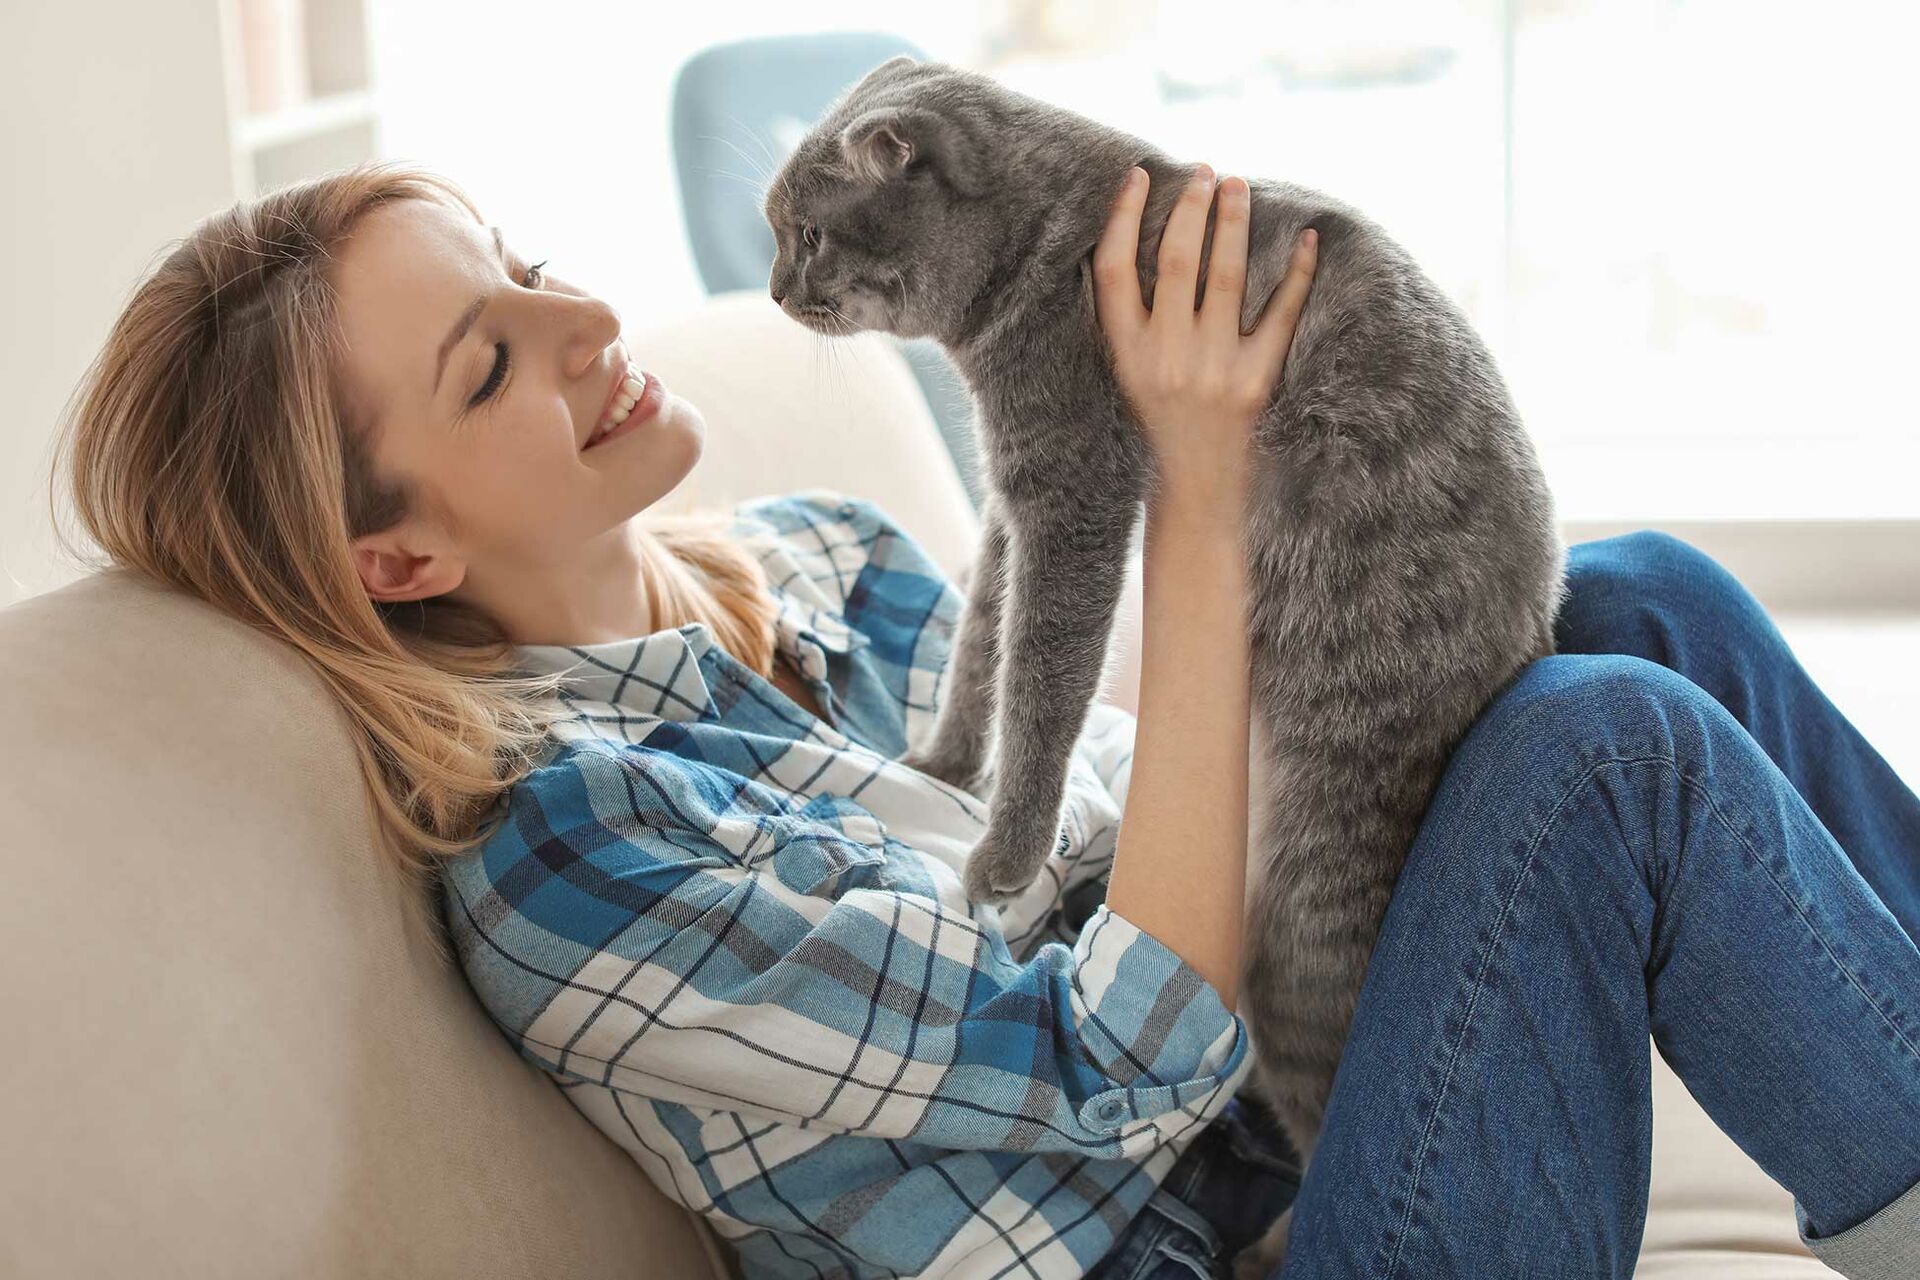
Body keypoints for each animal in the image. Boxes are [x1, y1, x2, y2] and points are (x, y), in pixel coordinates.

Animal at [756, 55, 1566, 1274]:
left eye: (806, 231)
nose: (768, 288)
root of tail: (1533, 630)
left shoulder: (1073, 497)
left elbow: (1040, 682)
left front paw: (1004, 849)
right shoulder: (1013, 504)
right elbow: (982, 645)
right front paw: (945, 759)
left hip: (1299, 928)